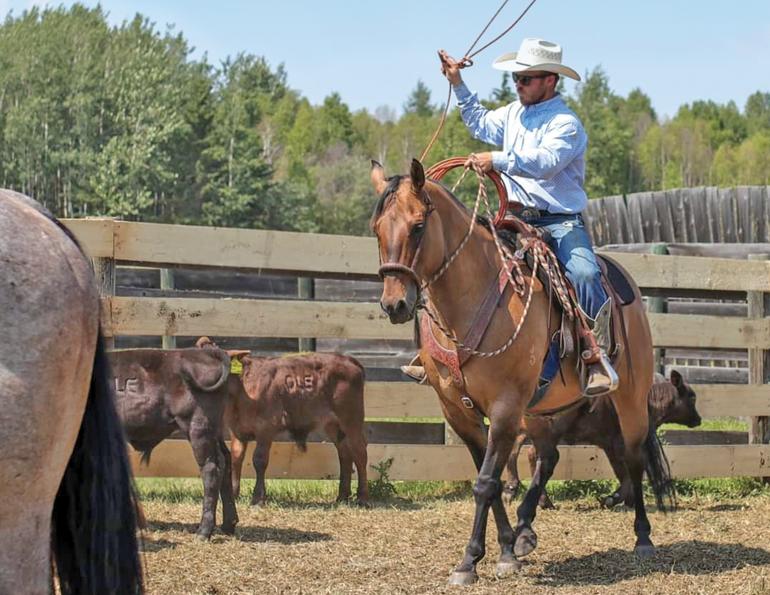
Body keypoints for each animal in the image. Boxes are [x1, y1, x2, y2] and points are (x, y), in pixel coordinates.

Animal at [370, 159, 671, 585]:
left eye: (417, 225)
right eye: (377, 228)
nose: (394, 304)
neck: (471, 298)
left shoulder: (505, 407)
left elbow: (485, 482)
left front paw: (469, 561)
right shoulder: (458, 410)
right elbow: (493, 478)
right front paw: (507, 550)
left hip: (629, 395)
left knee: (633, 455)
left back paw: (643, 537)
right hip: (542, 409)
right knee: (548, 457)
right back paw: (527, 530)